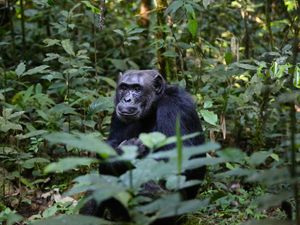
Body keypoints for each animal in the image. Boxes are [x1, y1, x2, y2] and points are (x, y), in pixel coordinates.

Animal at [80, 69, 206, 224]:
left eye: (137, 89)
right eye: (123, 88)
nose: (127, 99)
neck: (154, 106)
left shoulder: (174, 108)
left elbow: (176, 160)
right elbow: (111, 143)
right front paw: (122, 154)